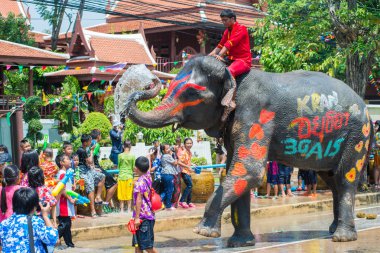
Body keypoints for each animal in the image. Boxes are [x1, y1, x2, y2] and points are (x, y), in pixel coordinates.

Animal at [122, 55, 374, 247]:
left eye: (191, 93)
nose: (150, 82)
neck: (231, 76)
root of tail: (368, 112)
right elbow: (235, 172)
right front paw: (239, 242)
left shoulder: (255, 113)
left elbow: (249, 171)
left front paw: (203, 233)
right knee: (331, 179)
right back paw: (332, 230)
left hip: (356, 135)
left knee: (345, 178)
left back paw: (342, 237)